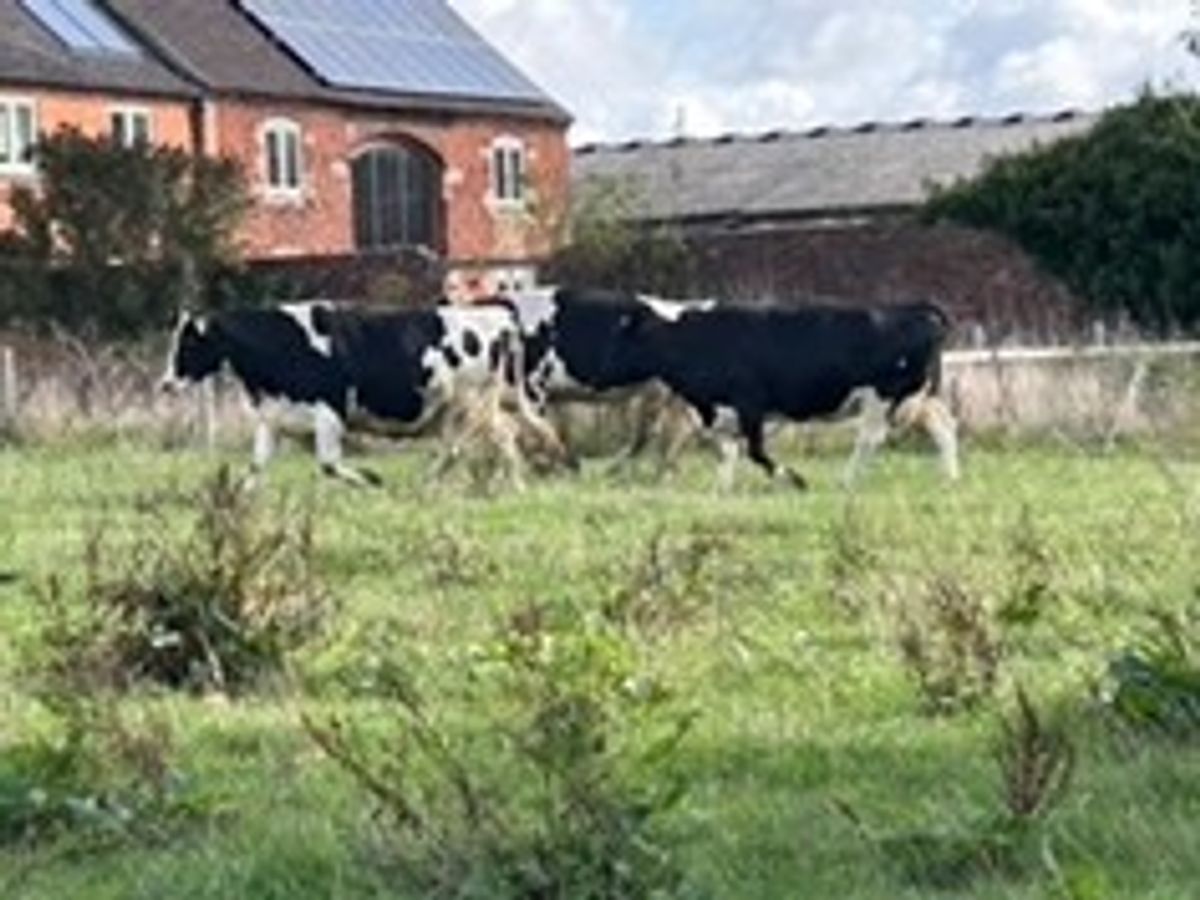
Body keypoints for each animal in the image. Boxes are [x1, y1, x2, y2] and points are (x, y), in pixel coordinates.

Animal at [158, 301, 566, 486]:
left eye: (188, 343)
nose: (164, 383)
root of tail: (496, 314)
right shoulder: (272, 417)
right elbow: (255, 468)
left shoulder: (330, 412)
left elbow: (328, 464)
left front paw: (371, 479)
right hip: (467, 407)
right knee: (495, 436)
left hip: (470, 403)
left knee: (474, 443)